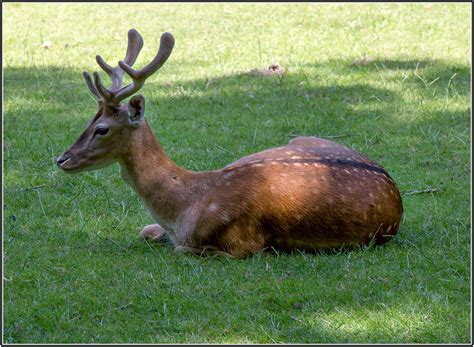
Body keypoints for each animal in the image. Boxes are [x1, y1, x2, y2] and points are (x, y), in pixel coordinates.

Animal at [56, 29, 404, 258]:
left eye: (101, 129)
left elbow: (183, 249)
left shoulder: (243, 245)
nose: (62, 159)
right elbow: (145, 231)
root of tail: (395, 190)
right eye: (89, 120)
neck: (184, 209)